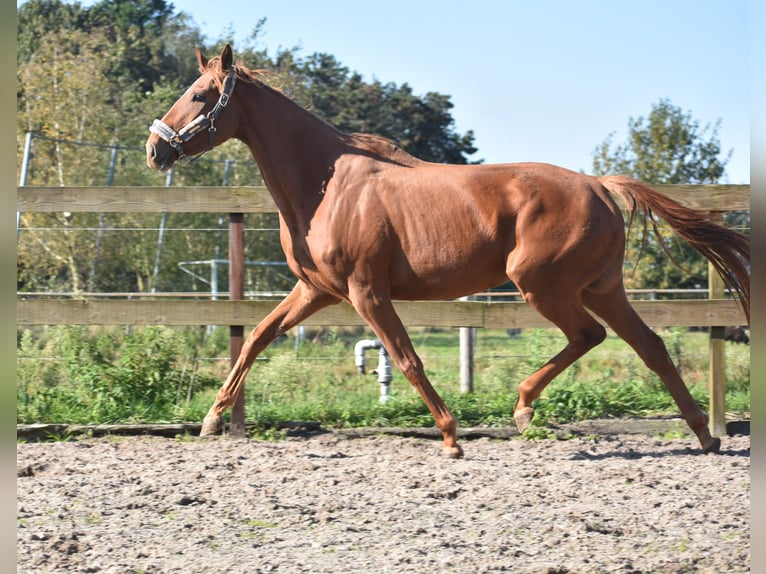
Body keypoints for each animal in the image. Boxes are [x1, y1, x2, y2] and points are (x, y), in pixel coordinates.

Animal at [146, 46, 752, 460]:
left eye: (200, 95)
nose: (155, 149)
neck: (324, 185)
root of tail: (601, 186)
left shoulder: (367, 293)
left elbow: (408, 360)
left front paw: (452, 437)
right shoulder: (316, 291)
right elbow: (256, 338)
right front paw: (210, 420)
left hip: (542, 285)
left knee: (590, 336)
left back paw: (523, 407)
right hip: (601, 287)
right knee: (649, 346)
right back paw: (704, 436)